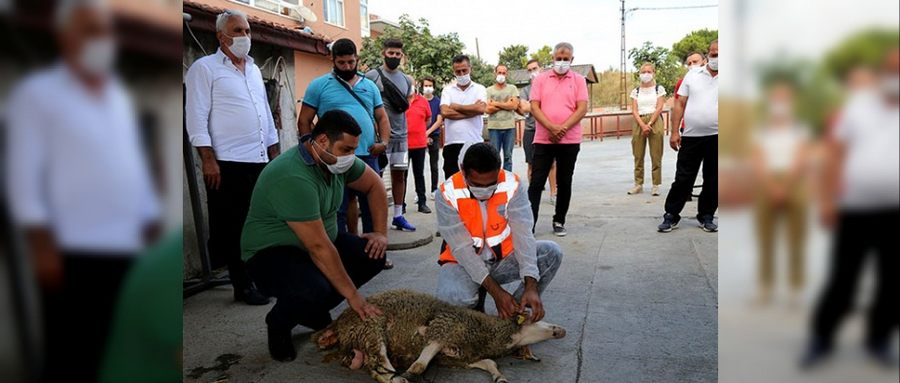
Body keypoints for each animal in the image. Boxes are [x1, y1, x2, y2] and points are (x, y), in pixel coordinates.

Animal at [312, 292, 568, 383]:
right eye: (540, 319)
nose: (562, 331)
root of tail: (339, 323)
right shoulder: (441, 327)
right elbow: (420, 363)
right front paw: (410, 373)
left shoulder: (460, 358)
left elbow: (489, 363)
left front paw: (499, 377)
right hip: (371, 327)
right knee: (381, 362)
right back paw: (399, 378)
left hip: (363, 337)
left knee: (375, 367)